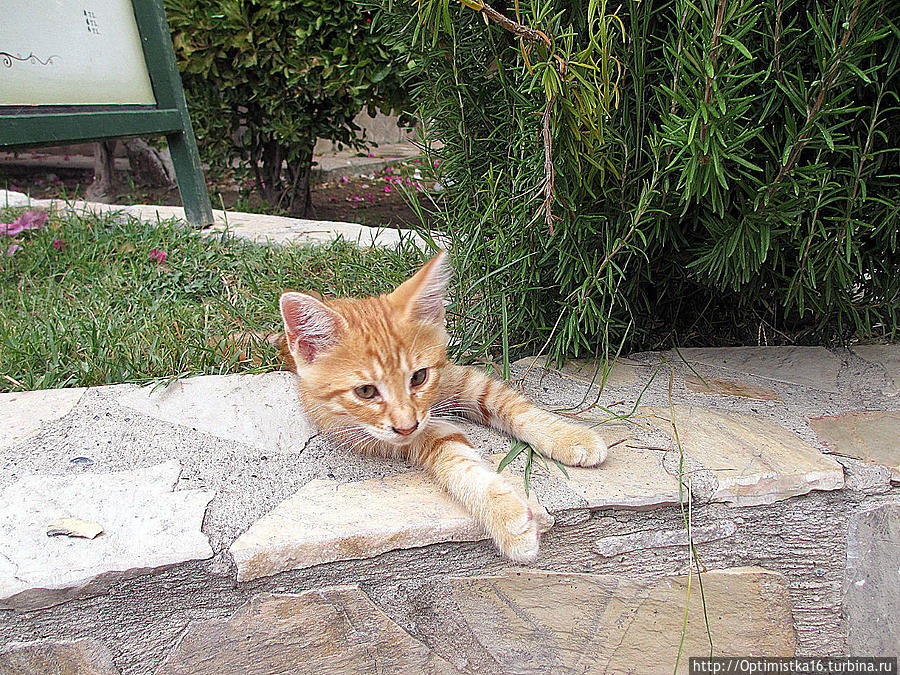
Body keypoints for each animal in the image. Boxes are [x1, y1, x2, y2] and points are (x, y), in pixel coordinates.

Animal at [278, 251, 608, 564]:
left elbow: (513, 406)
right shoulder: (393, 436)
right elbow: (460, 464)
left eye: (419, 377)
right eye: (366, 391)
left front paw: (570, 437)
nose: (407, 425)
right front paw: (508, 519)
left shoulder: (461, 379)